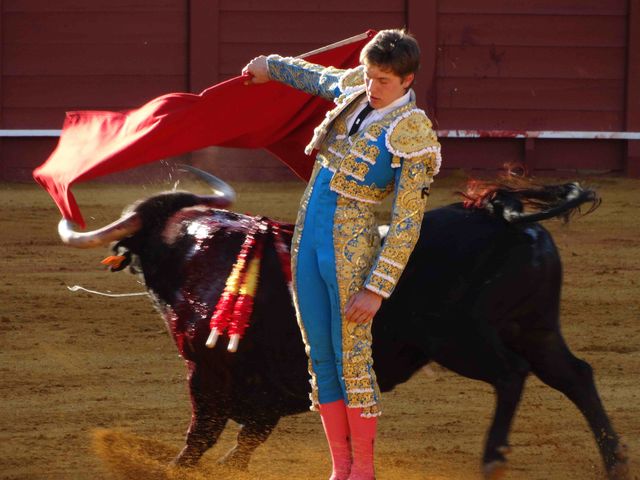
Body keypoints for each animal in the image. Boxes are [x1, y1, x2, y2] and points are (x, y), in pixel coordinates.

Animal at [57, 168, 628, 476]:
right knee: (576, 376)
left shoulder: (207, 375)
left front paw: (172, 468)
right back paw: (616, 460)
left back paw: (494, 459)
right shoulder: (270, 393)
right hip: (536, 329)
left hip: (458, 339)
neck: (197, 249)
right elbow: (243, 445)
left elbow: (200, 439)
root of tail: (501, 212)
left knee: (512, 376)